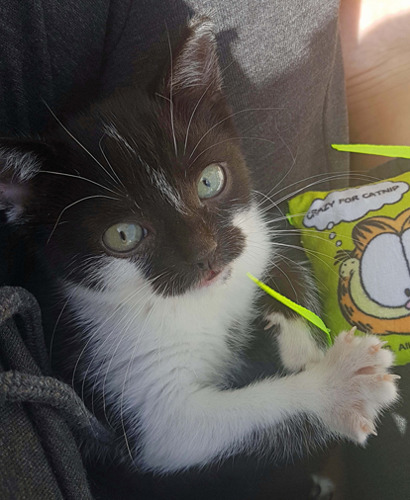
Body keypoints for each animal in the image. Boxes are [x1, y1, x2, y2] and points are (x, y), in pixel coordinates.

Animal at [0, 18, 398, 472]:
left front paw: (299, 341)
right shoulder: (133, 393)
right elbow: (219, 420)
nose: (206, 253)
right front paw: (337, 385)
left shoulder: (251, 232)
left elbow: (274, 257)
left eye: (210, 181)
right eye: (123, 235)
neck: (200, 299)